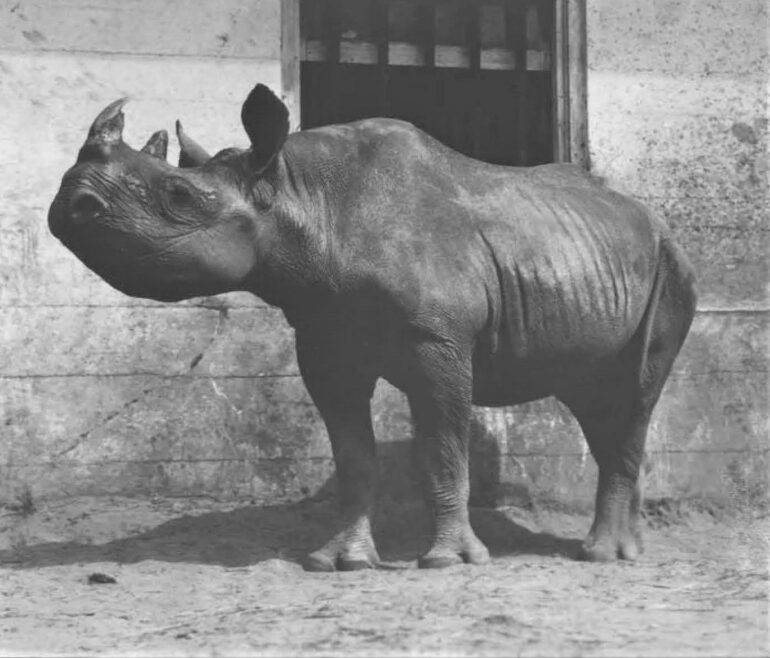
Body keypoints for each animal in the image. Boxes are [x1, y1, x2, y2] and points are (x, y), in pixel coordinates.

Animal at [48, 83, 697, 570]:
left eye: (178, 194)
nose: (70, 202)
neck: (300, 198)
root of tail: (653, 218)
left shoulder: (439, 340)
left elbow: (442, 448)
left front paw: (449, 561)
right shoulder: (325, 339)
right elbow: (353, 458)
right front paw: (339, 561)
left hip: (672, 268)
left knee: (634, 394)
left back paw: (604, 556)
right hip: (589, 258)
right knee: (596, 399)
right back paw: (625, 547)